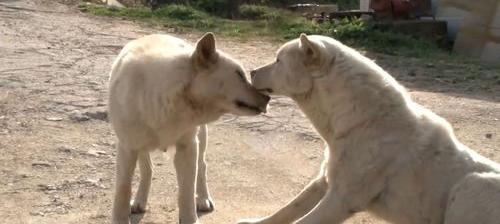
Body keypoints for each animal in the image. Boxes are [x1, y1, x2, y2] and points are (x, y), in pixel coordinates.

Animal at [109, 32, 270, 224]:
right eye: (239, 74)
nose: (268, 98)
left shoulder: (187, 149)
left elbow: (186, 192)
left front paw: (190, 216)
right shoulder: (127, 149)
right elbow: (123, 190)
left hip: (201, 138)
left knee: (202, 167)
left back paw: (203, 199)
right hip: (140, 146)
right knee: (147, 169)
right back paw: (140, 200)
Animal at [240, 33, 498, 224]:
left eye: (278, 60)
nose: (251, 72)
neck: (366, 121)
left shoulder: (342, 199)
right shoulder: (324, 181)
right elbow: (287, 209)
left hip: (471, 184)